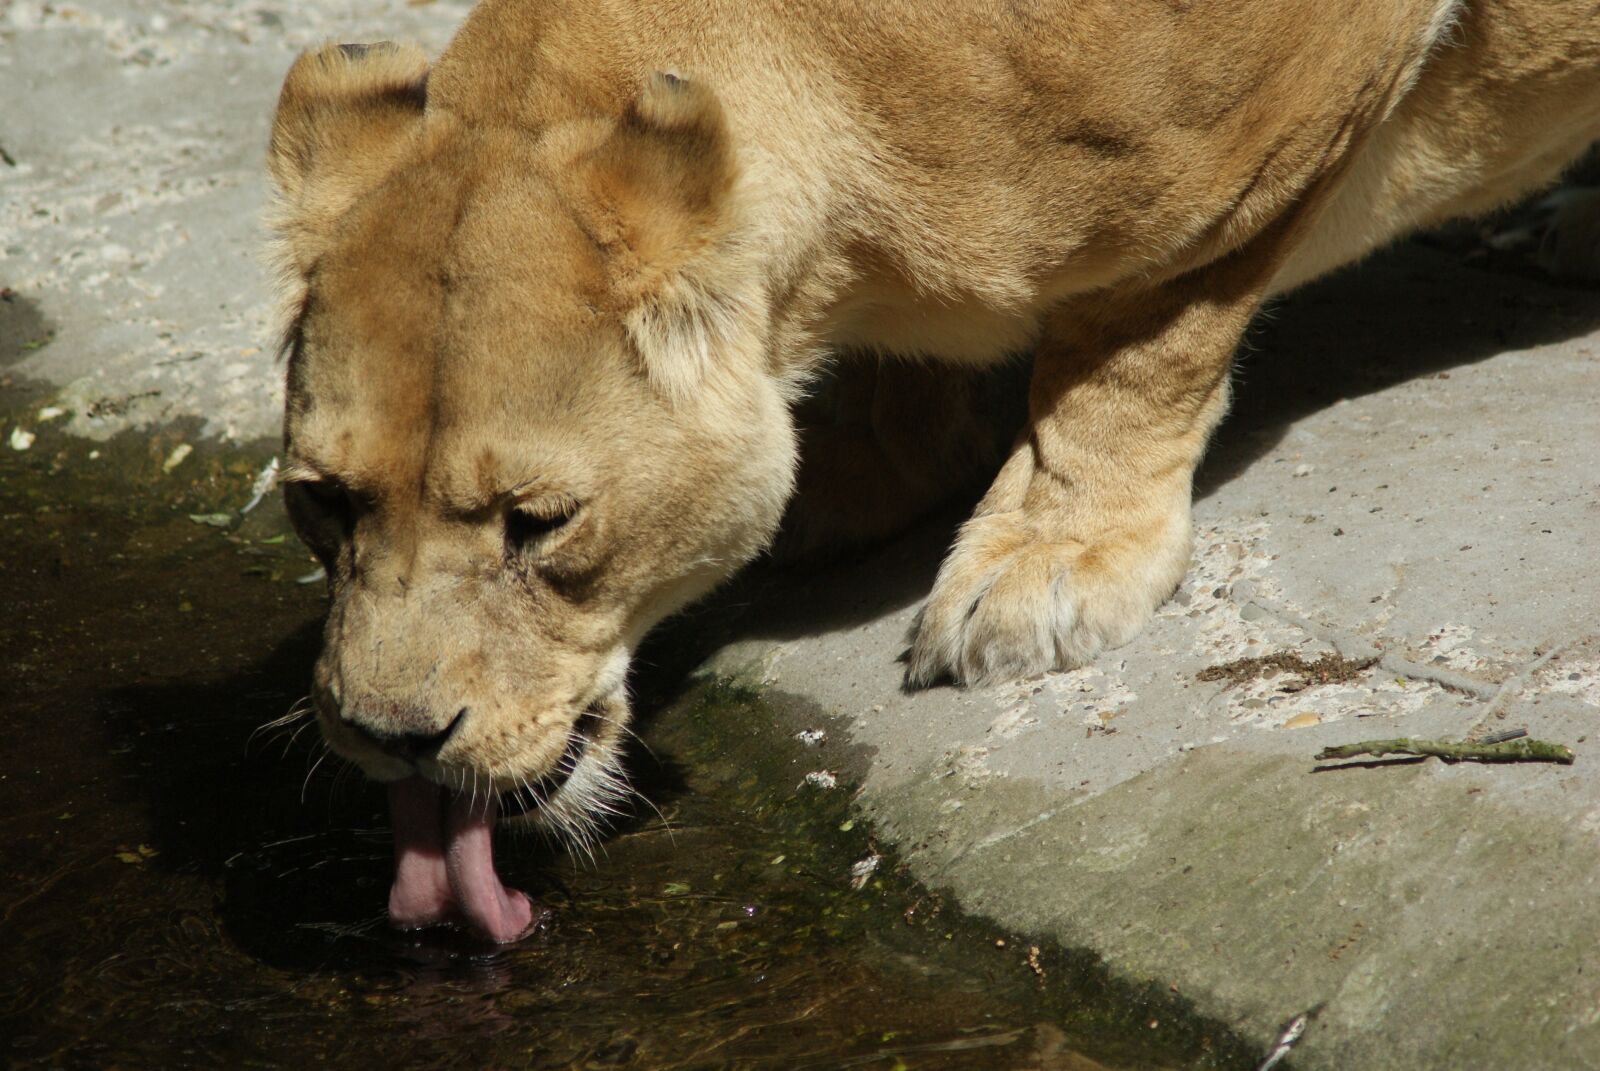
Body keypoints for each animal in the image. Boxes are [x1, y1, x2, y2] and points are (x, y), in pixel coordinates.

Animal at [266, 0, 1600, 941]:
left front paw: (1048, 562)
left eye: (536, 525)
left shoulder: (1268, 142)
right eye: (322, 502)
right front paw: (863, 474)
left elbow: (1134, 346)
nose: (388, 736)